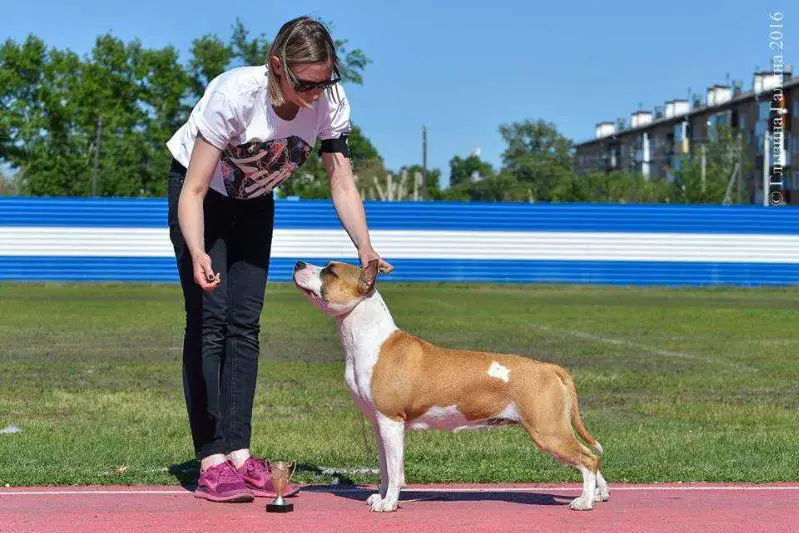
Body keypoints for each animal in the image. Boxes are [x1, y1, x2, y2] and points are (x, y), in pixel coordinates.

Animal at [290, 258, 608, 512]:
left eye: (330, 271)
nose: (298, 263)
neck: (369, 337)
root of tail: (550, 368)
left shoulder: (391, 422)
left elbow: (395, 471)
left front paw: (388, 504)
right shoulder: (381, 425)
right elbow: (385, 468)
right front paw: (380, 497)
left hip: (548, 430)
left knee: (588, 458)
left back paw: (583, 502)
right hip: (555, 428)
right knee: (590, 459)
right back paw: (596, 495)